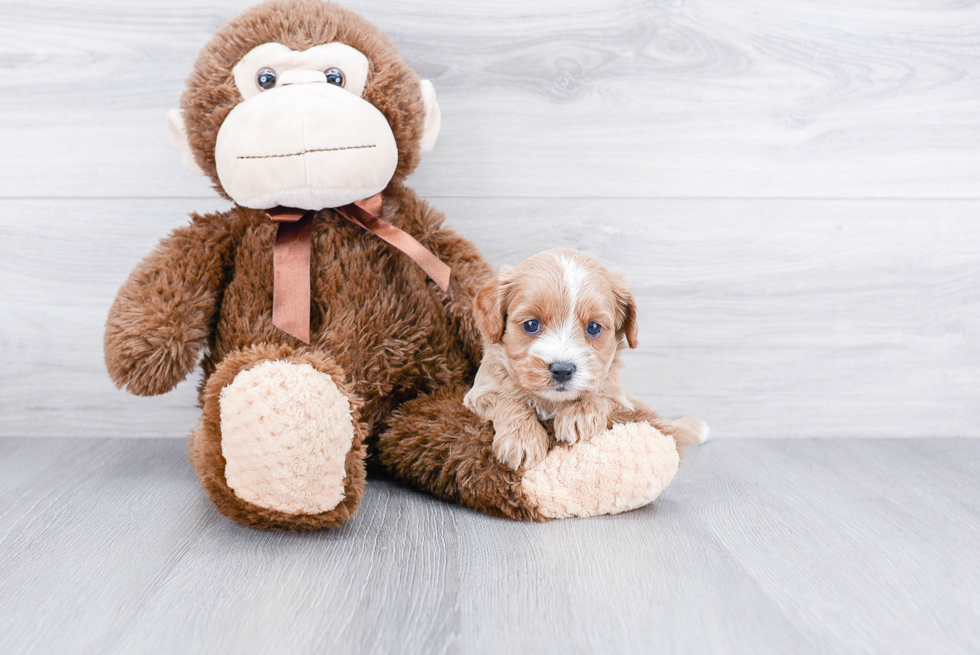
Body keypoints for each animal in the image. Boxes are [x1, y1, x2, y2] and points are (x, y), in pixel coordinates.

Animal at [464, 251, 648, 472]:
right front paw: (522, 439)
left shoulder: (621, 399)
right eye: (531, 324)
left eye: (594, 327)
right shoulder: (479, 393)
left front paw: (579, 414)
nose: (562, 370)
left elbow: (600, 396)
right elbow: (508, 401)